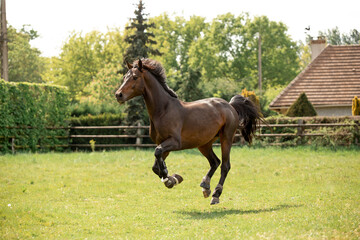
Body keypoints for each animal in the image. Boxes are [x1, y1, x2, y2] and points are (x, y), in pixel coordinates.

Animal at [115, 58, 262, 204]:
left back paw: (215, 194)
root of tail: (230, 106)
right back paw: (205, 186)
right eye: (124, 77)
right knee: (215, 162)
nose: (118, 95)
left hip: (226, 138)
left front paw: (169, 177)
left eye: (135, 77)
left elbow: (157, 154)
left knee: (225, 165)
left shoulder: (174, 142)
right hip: (204, 144)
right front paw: (172, 179)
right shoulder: (164, 145)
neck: (163, 110)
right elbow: (156, 165)